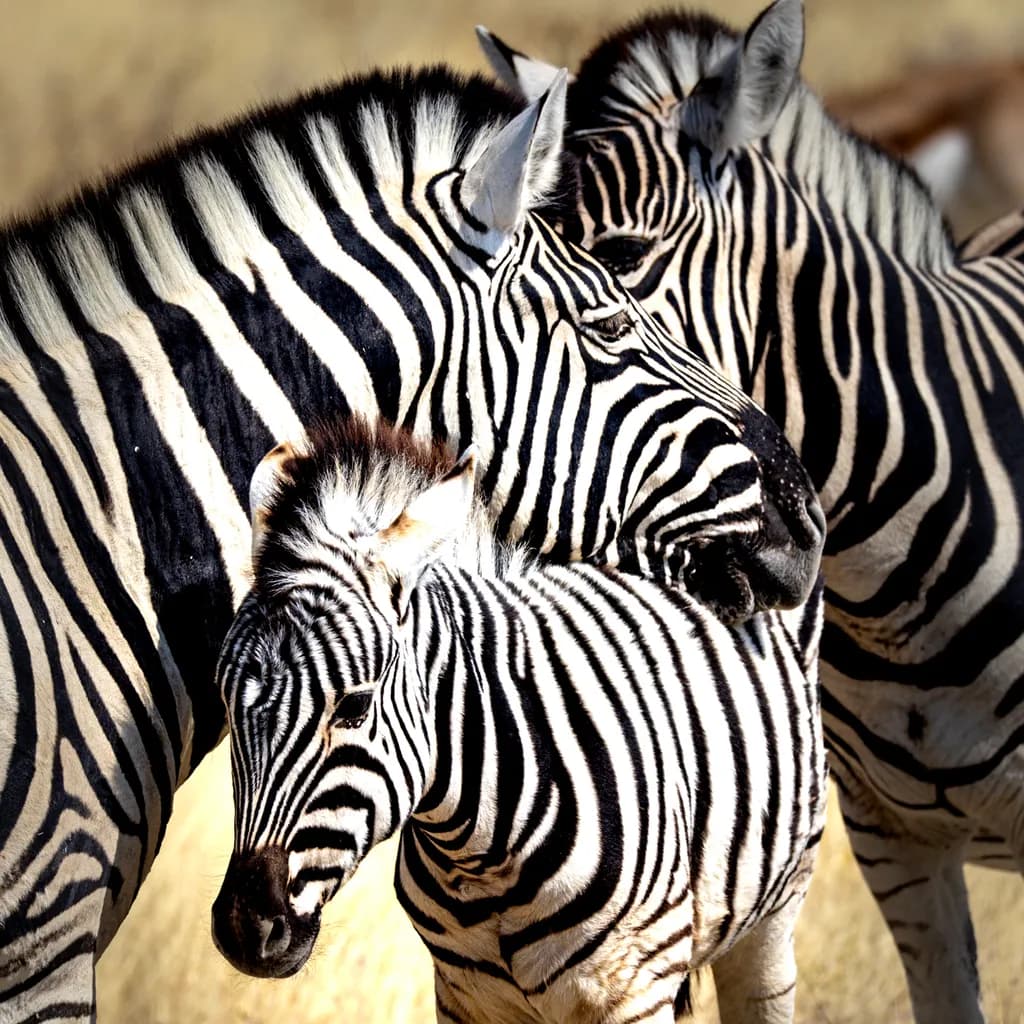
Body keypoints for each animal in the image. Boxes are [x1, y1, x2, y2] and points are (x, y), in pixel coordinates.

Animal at [211, 415, 827, 1024]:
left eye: (354, 707)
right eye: (226, 701)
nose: (244, 930)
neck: (480, 858)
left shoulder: (634, 989)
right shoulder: (464, 997)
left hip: (775, 913)